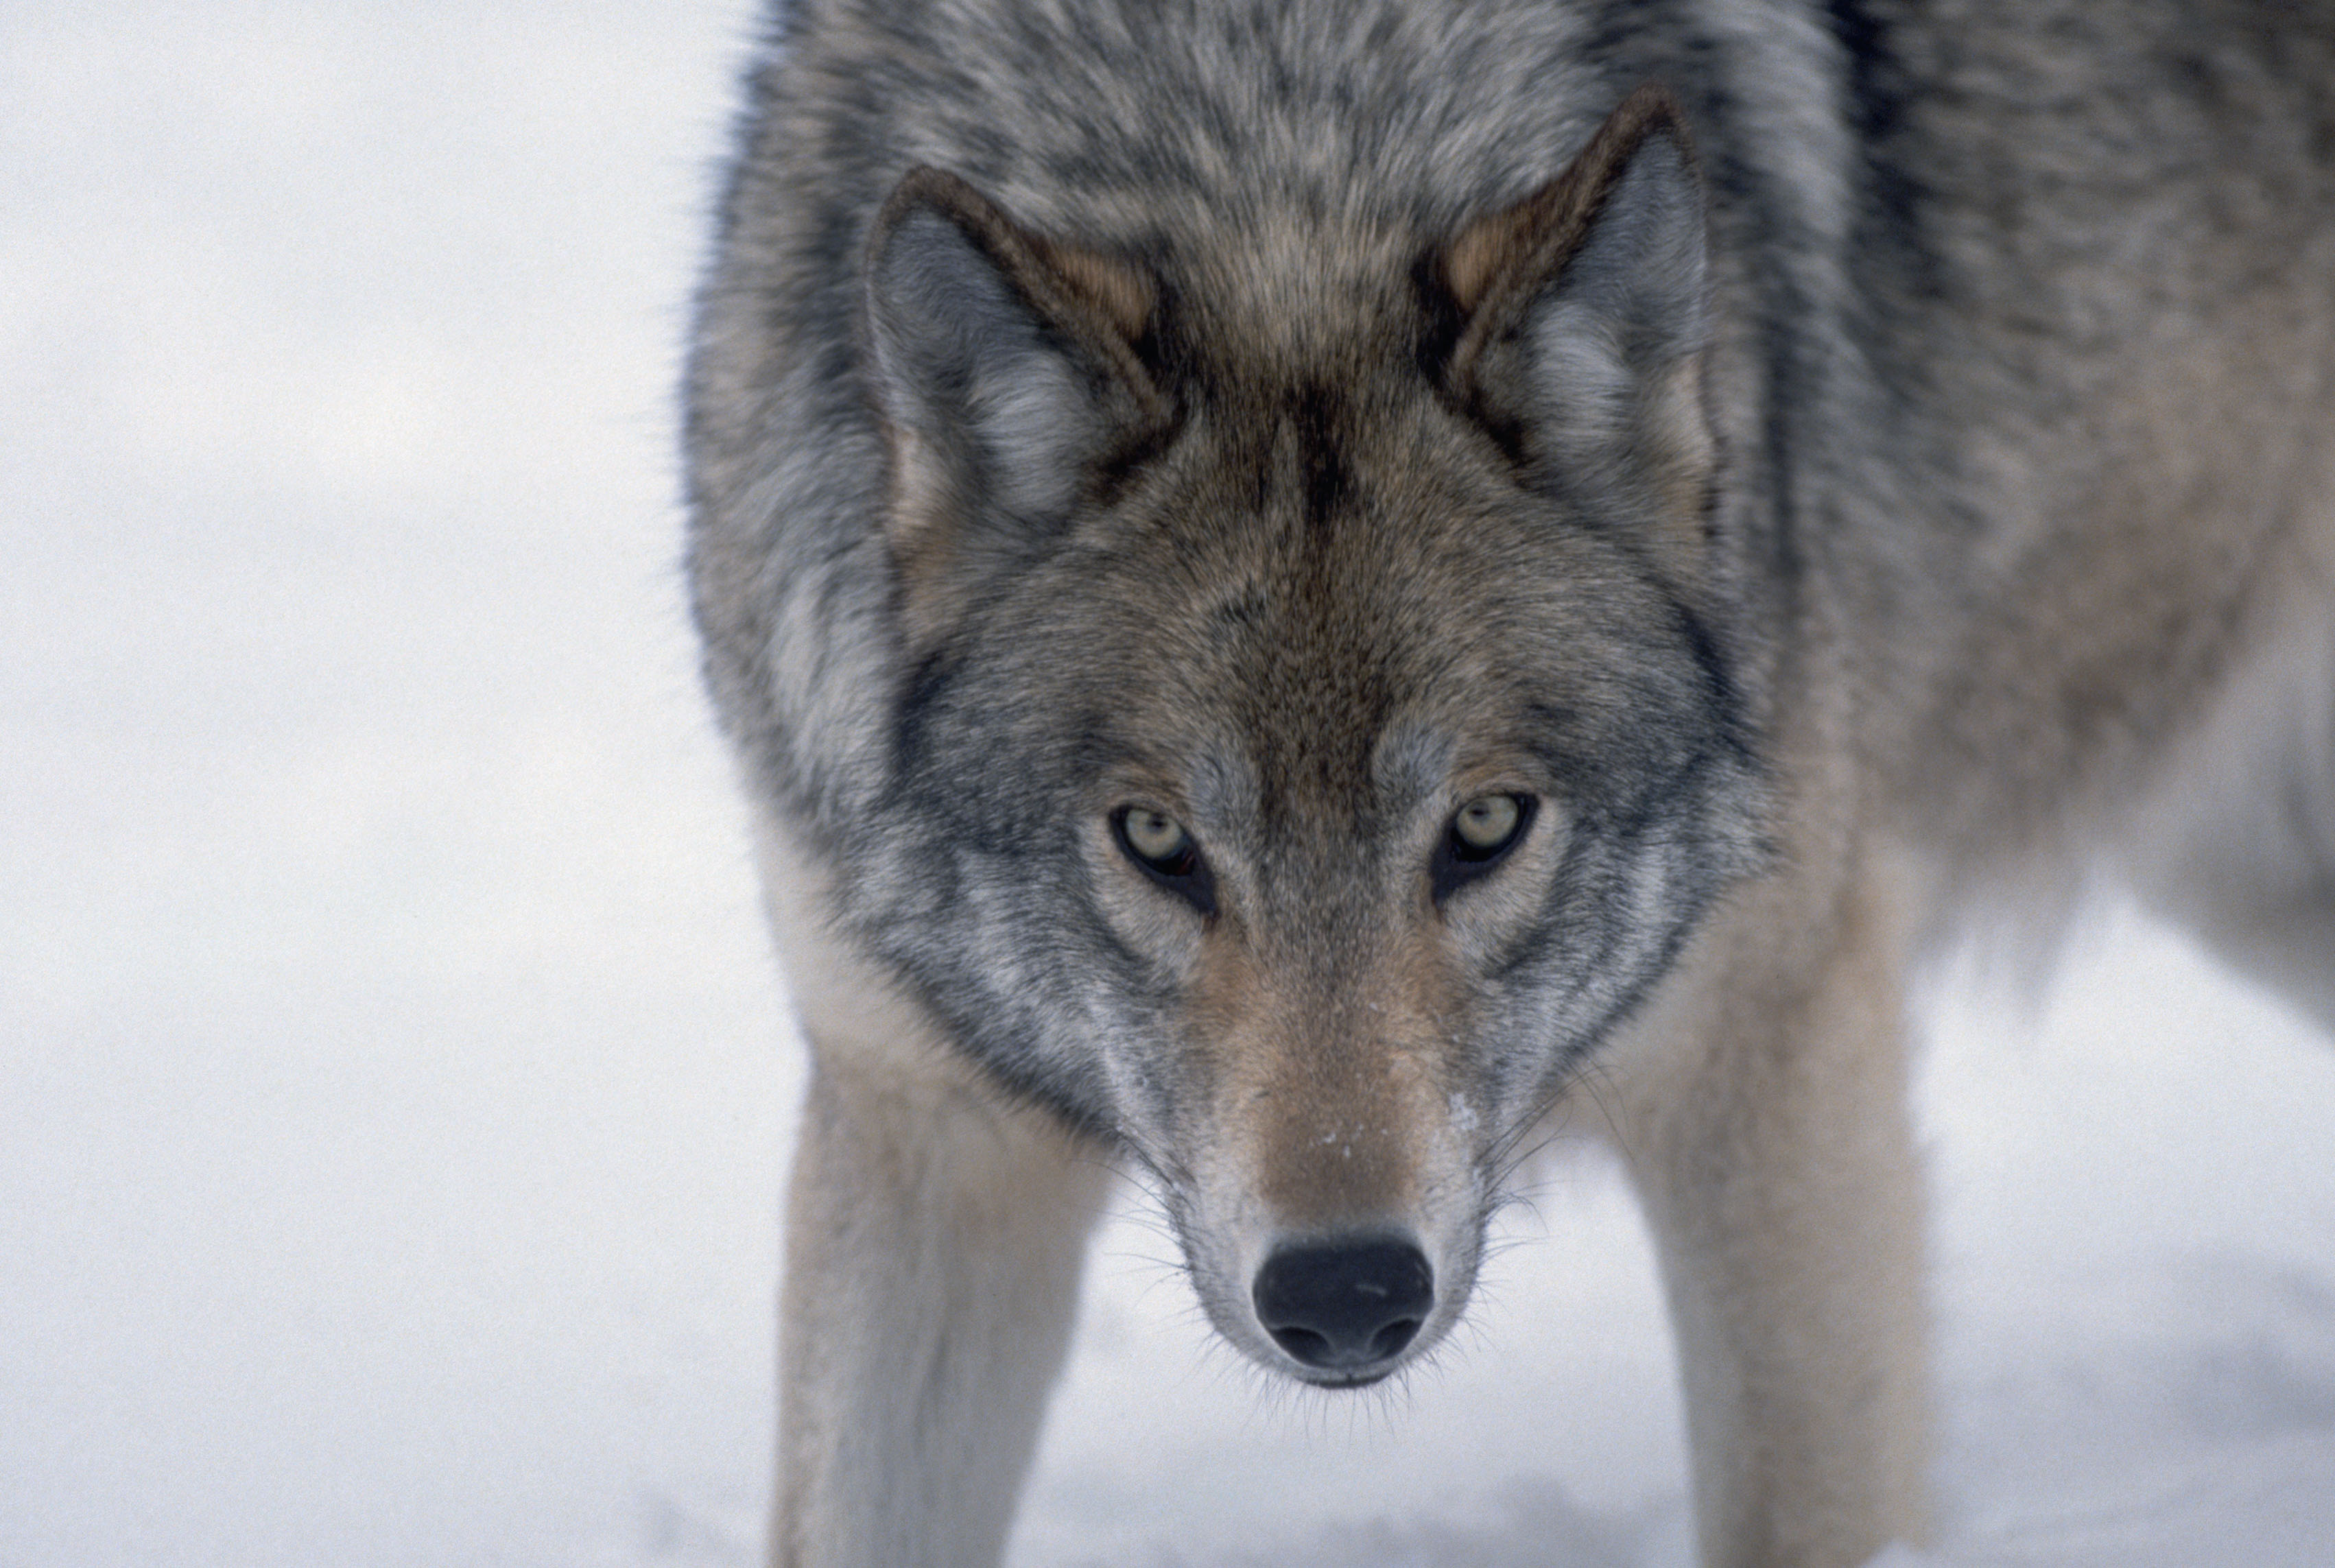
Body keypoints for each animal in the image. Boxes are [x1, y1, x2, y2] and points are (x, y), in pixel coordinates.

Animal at [681, 0, 2335, 1558]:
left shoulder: (1771, 1069)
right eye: (1156, 840)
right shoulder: (923, 1133)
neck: (1270, 150)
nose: (1348, 1290)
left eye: (1484, 824)